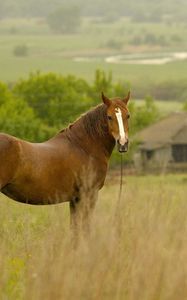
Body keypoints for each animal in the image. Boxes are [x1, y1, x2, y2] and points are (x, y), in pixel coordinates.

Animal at [0, 91, 130, 241]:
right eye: (109, 117)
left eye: (128, 115)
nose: (123, 143)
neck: (83, 147)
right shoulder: (88, 195)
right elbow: (85, 228)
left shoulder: (75, 199)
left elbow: (75, 230)